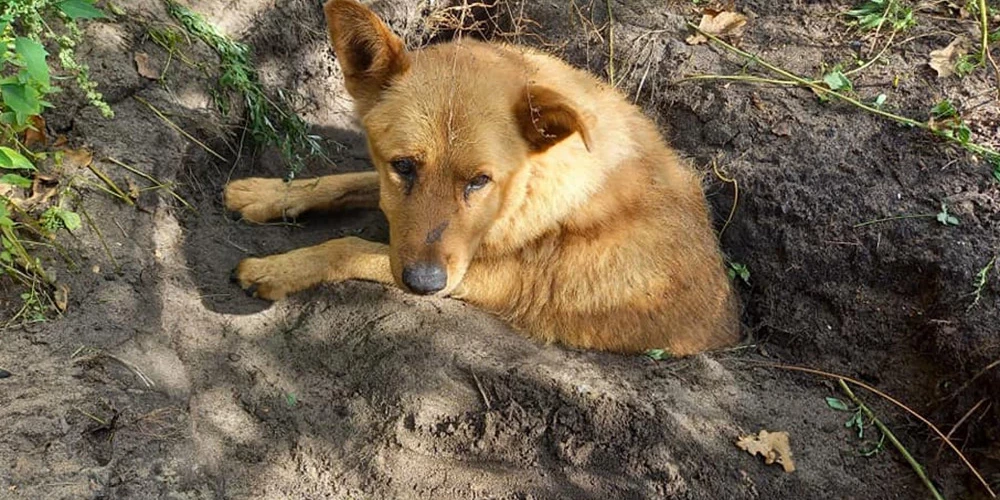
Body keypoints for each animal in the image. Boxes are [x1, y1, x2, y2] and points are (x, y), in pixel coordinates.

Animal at [227, 0, 744, 356]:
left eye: (480, 181)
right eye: (403, 166)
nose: (423, 283)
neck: (528, 187)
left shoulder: (484, 277)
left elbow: (348, 247)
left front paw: (278, 268)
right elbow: (350, 181)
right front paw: (269, 192)